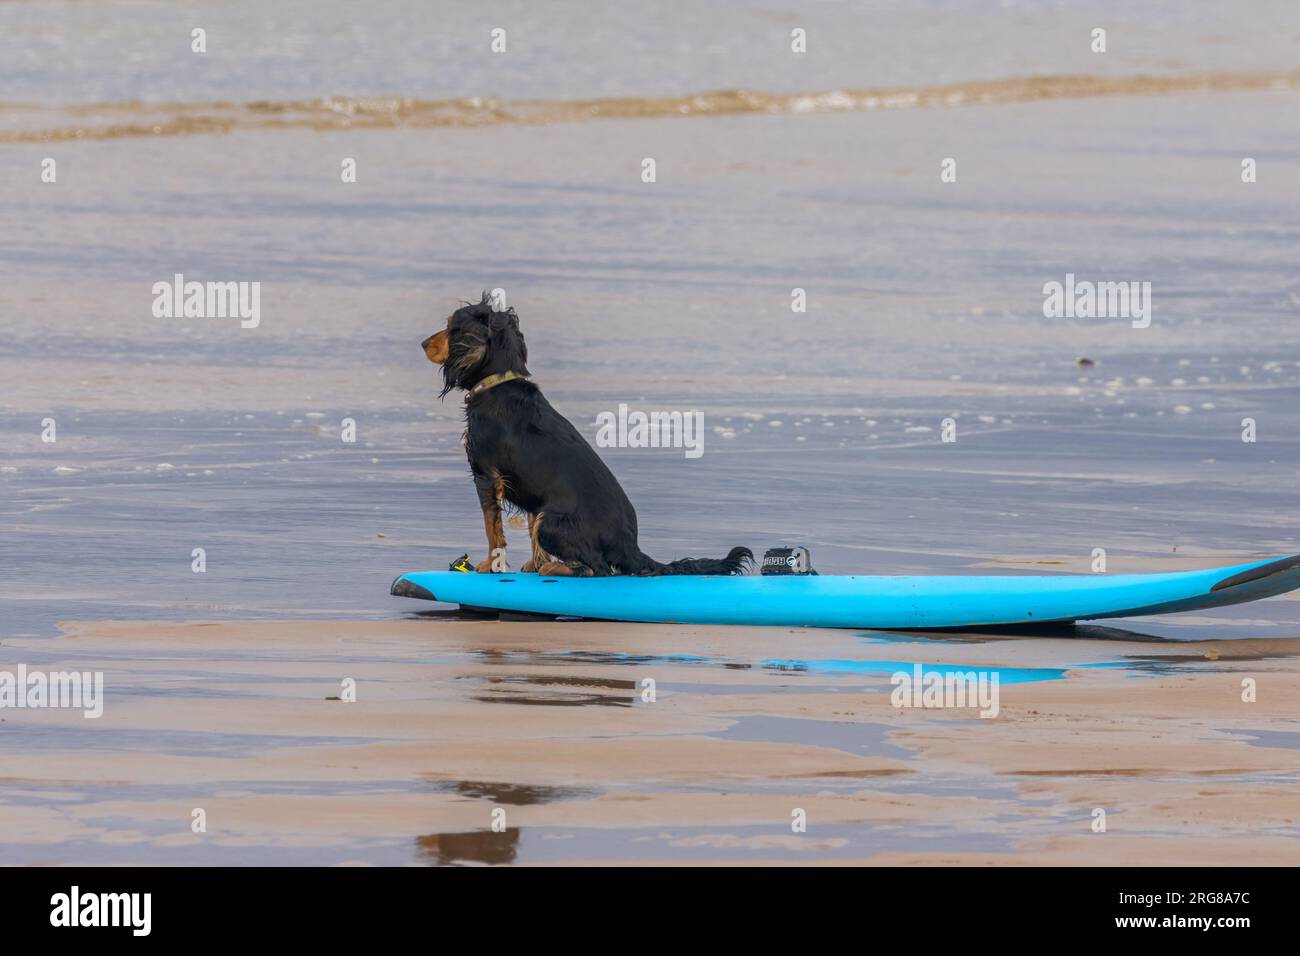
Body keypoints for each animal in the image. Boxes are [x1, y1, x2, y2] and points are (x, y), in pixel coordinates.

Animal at [421, 291, 754, 574]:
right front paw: (534, 564)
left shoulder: (486, 474)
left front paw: (491, 565)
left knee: (597, 568)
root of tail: (631, 547)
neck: (498, 382)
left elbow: (493, 529)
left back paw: (557, 569)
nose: (423, 343)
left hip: (553, 521)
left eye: (450, 326)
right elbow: (527, 524)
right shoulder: (530, 493)